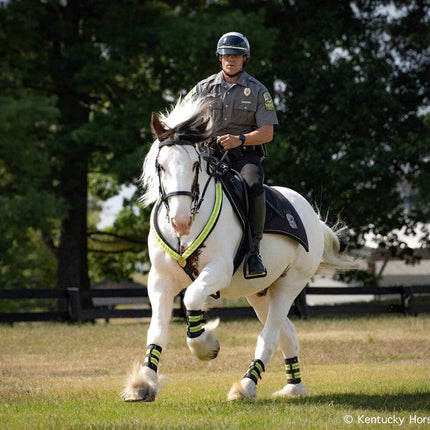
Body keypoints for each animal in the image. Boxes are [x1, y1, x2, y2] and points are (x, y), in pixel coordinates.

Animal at [122, 97, 356, 404]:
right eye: (160, 166)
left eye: (195, 164)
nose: (181, 220)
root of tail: (312, 218)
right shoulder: (160, 279)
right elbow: (158, 330)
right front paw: (143, 384)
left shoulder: (218, 270)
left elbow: (192, 298)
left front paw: (206, 346)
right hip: (260, 293)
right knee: (288, 334)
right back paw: (293, 388)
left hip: (289, 285)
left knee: (269, 337)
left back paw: (246, 386)